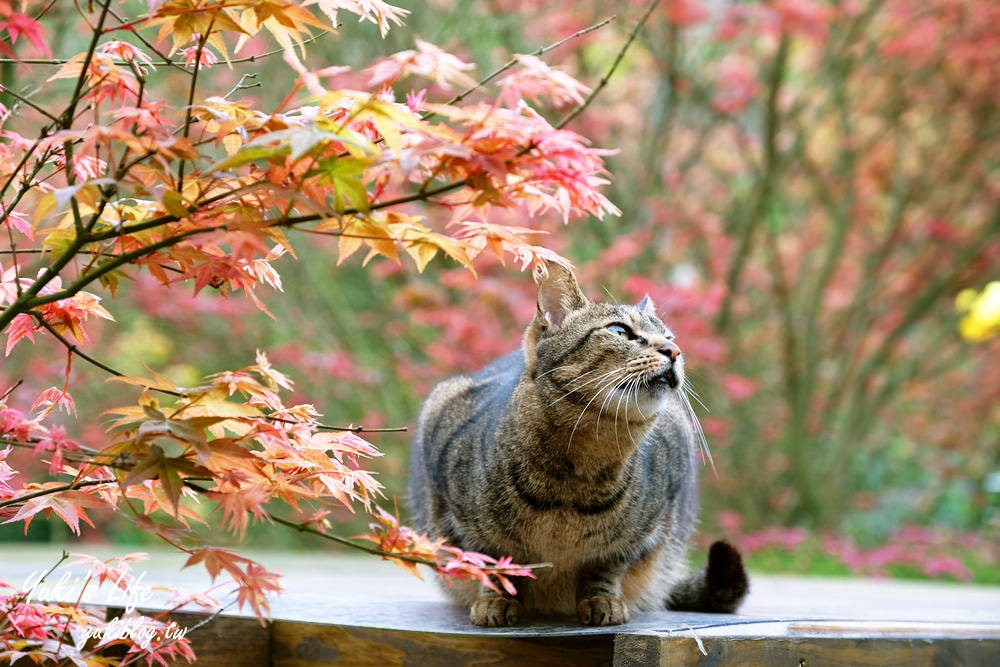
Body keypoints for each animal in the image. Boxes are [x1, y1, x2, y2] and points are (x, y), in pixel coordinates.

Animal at [408, 260, 752, 628]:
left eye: (670, 337)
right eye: (619, 331)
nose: (674, 351)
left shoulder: (641, 531)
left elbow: (606, 567)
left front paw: (603, 600)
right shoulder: (461, 518)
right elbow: (490, 561)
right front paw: (495, 600)